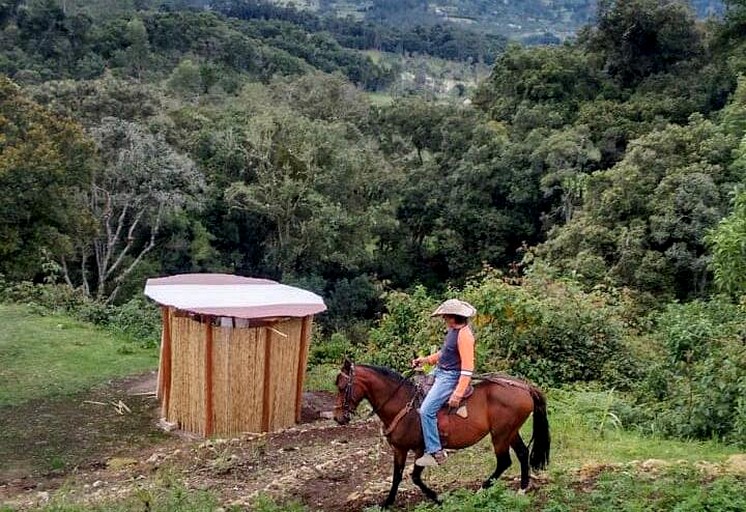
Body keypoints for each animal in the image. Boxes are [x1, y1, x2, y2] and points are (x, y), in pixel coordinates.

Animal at [332, 360, 548, 508]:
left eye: (342, 387)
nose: (338, 418)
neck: (402, 404)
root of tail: (525, 387)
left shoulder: (420, 449)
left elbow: (415, 477)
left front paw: (438, 498)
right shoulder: (399, 449)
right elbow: (397, 476)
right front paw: (387, 503)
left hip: (500, 435)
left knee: (504, 462)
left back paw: (481, 490)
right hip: (510, 432)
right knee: (522, 454)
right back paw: (522, 489)